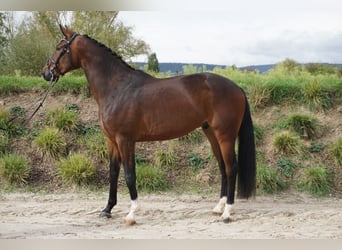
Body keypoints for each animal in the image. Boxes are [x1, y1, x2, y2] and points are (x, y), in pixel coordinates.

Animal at [41, 25, 255, 225]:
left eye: (59, 47)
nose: (45, 73)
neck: (117, 88)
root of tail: (237, 87)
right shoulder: (112, 141)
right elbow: (113, 173)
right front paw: (107, 210)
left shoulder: (125, 140)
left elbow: (129, 175)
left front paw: (131, 214)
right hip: (211, 133)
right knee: (222, 166)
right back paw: (219, 207)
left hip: (225, 135)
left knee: (231, 167)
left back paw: (227, 213)